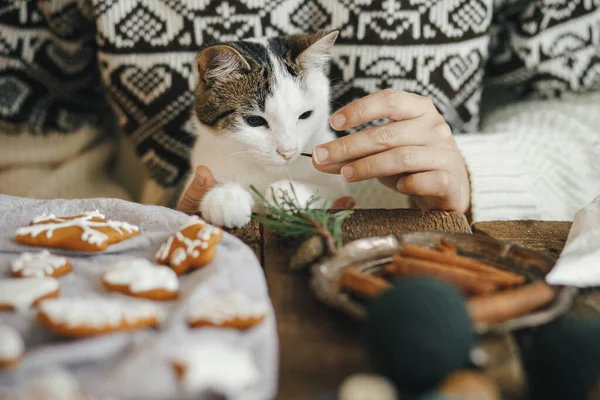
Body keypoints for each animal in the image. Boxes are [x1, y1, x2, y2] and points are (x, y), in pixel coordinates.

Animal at [184, 30, 352, 228]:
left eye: (305, 115)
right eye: (254, 120)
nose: (288, 152)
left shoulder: (337, 184)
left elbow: (329, 190)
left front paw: (288, 192)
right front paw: (225, 197)